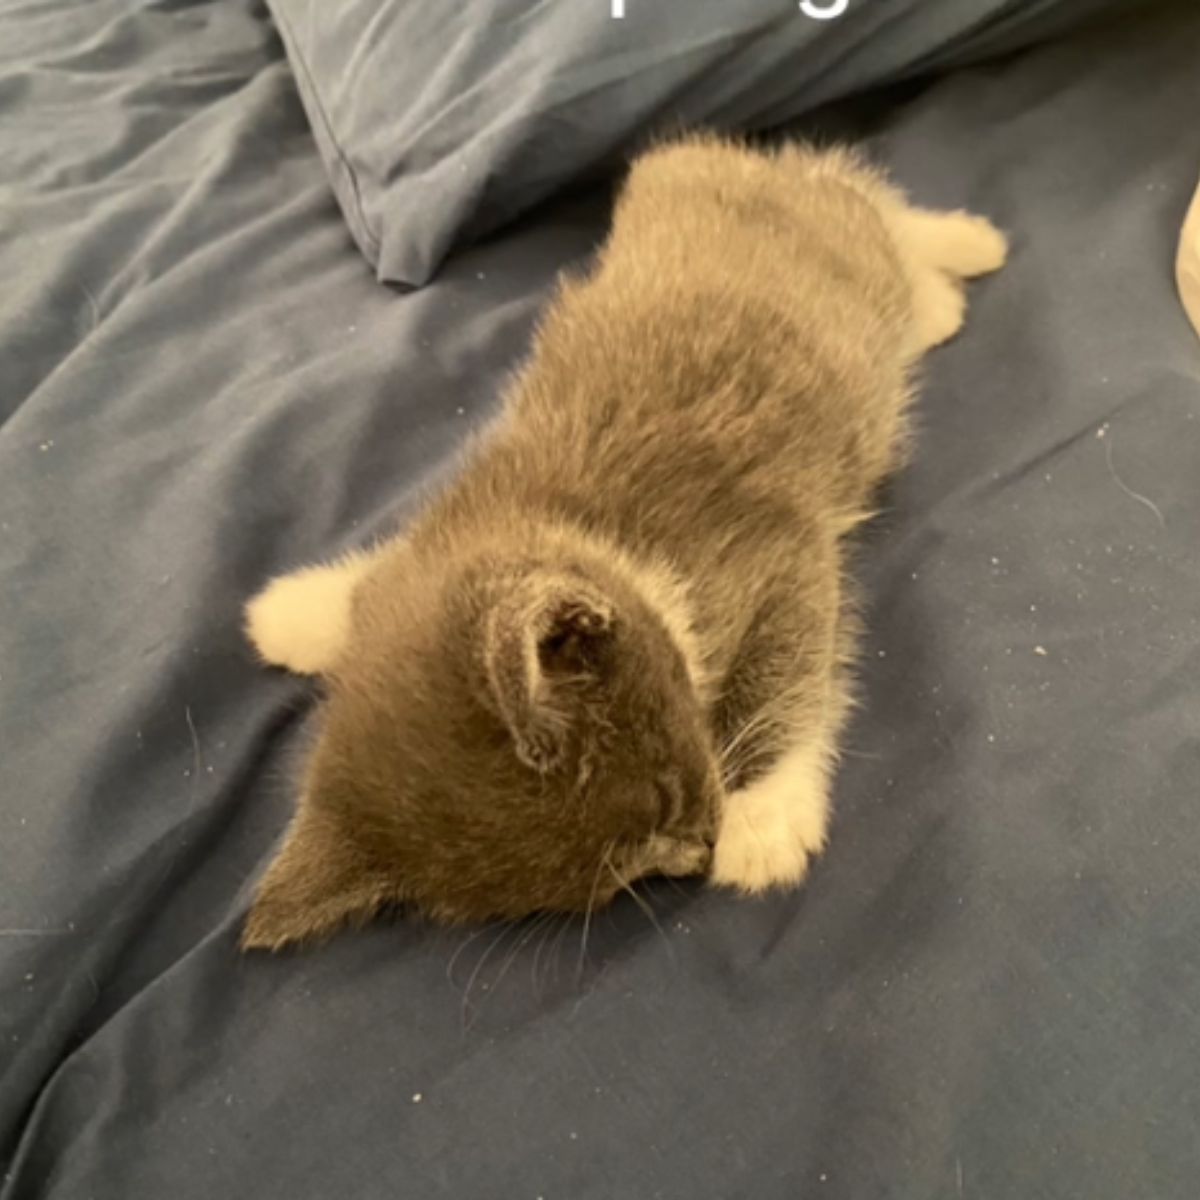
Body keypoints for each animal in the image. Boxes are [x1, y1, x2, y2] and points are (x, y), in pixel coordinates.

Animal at [238, 136, 1008, 950]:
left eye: (667, 798)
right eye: (621, 874)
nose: (697, 849)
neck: (564, 518)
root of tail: (736, 163)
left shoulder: (775, 545)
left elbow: (787, 664)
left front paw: (761, 816)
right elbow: (378, 585)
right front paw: (298, 613)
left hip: (838, 241)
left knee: (868, 204)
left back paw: (954, 265)